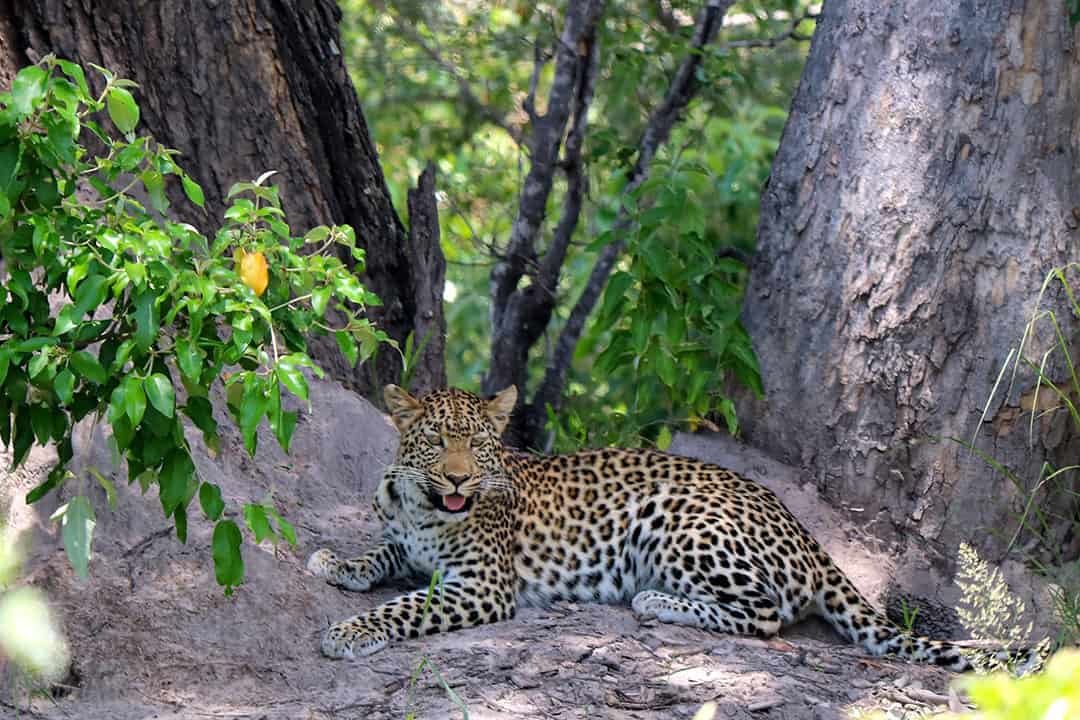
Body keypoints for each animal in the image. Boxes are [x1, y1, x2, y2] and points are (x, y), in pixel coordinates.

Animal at [306, 384, 1019, 671]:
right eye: (435, 443)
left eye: (478, 446)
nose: (457, 480)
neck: (425, 506)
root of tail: (808, 537)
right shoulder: (407, 542)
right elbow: (382, 554)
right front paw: (337, 565)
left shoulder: (481, 587)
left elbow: (404, 607)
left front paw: (348, 632)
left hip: (677, 517)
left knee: (764, 615)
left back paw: (656, 601)